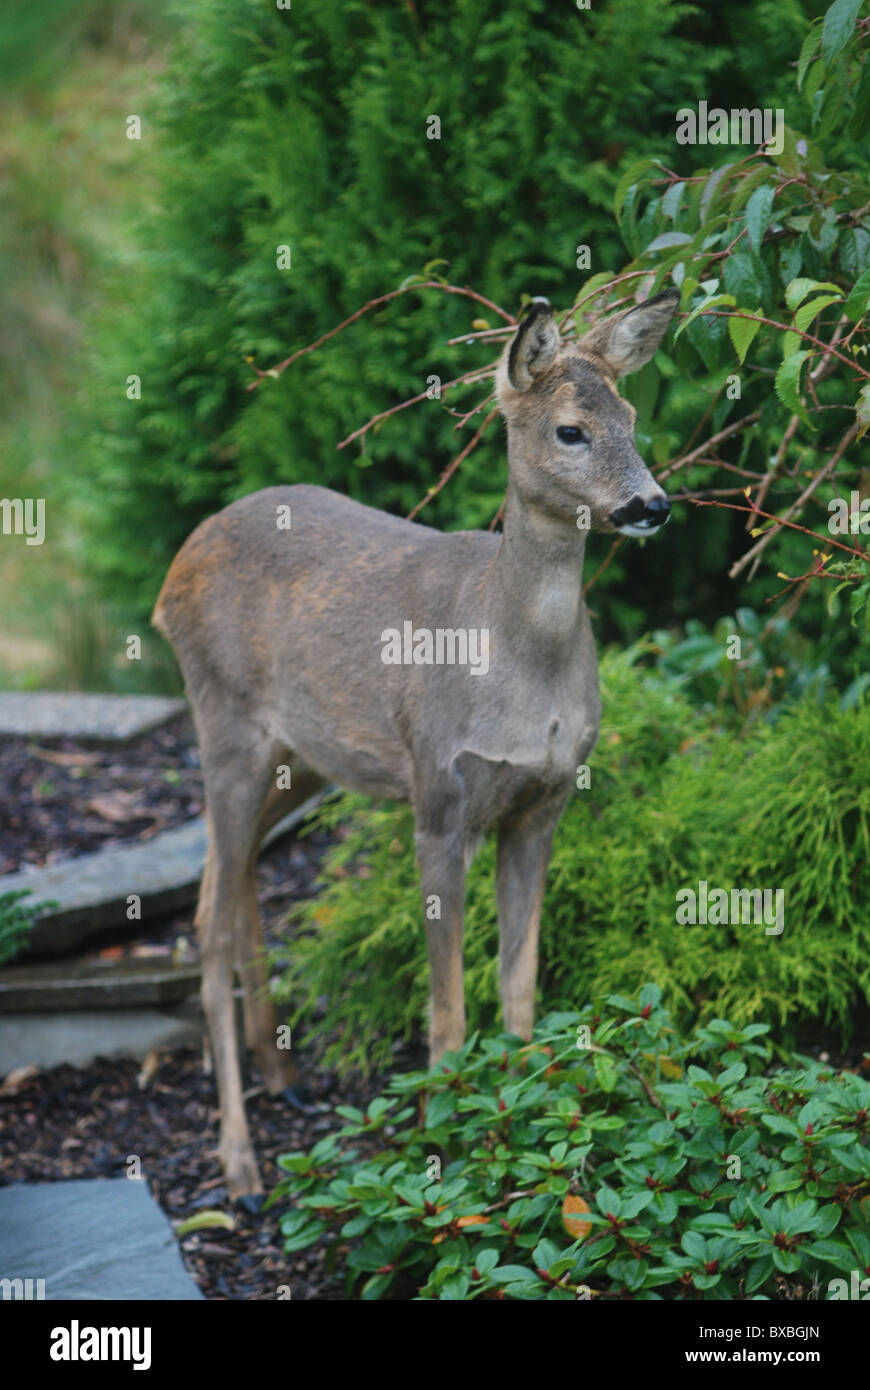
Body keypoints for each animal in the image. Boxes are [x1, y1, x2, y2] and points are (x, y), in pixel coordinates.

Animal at [152, 288, 680, 1199]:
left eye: (635, 417)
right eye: (570, 430)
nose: (651, 504)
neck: (515, 661)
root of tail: (176, 566)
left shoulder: (544, 803)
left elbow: (517, 986)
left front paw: (530, 1142)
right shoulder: (438, 797)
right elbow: (446, 1010)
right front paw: (444, 1150)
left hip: (303, 758)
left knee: (234, 871)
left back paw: (278, 1072)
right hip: (224, 721)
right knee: (208, 915)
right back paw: (240, 1159)